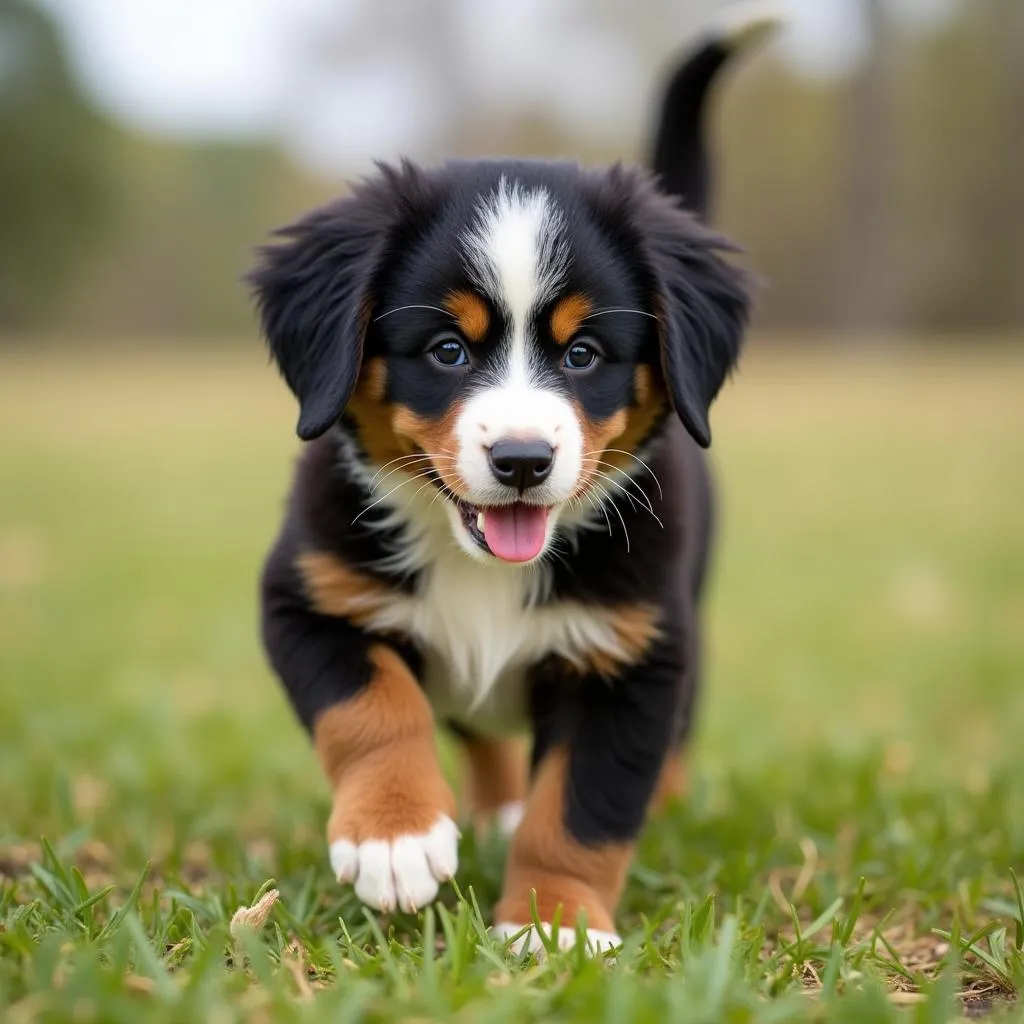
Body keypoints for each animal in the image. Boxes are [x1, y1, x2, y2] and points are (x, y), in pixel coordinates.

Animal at [247, 9, 774, 950]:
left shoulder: (632, 656)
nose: (523, 460)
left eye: (585, 354)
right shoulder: (309, 598)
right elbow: (371, 707)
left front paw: (554, 924)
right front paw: (395, 835)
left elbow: (581, 808)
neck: (483, 570)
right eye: (447, 350)